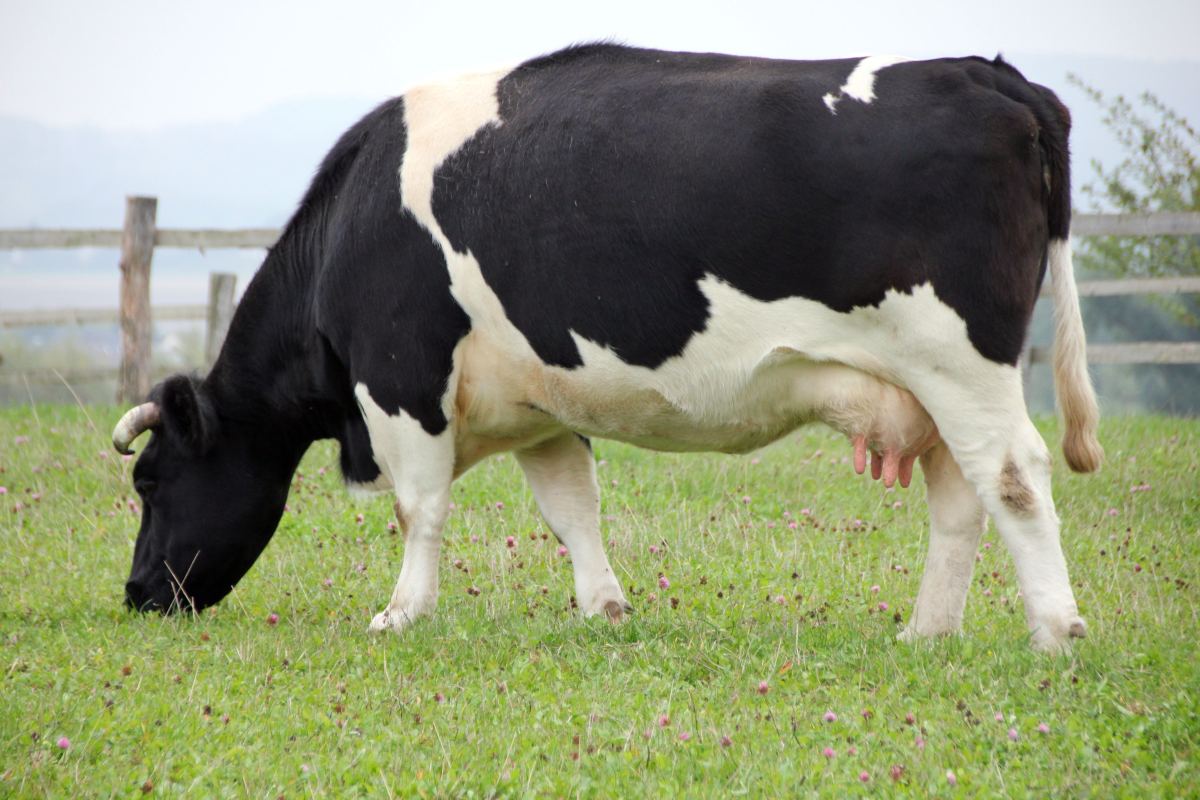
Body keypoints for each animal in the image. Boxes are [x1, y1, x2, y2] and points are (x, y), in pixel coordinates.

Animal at [113, 43, 1102, 653]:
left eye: (150, 481)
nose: (138, 593)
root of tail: (987, 72)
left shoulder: (399, 376)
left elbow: (418, 507)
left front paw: (400, 613)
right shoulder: (538, 399)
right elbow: (570, 507)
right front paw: (604, 608)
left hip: (958, 360)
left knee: (1013, 475)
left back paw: (1056, 631)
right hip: (926, 386)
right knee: (960, 499)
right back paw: (926, 632)